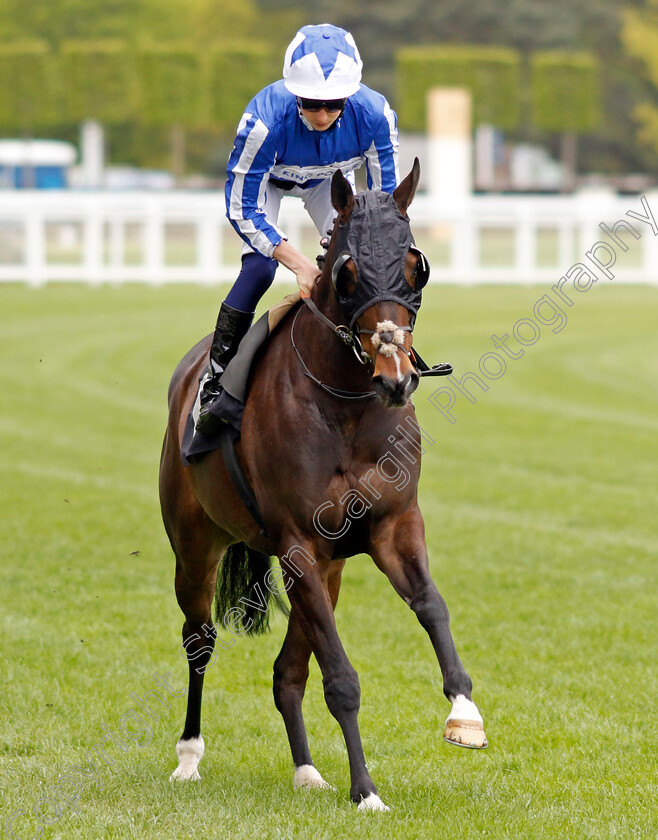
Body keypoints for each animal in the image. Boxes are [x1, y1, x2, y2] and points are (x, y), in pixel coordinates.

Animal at [159, 159, 484, 812]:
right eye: (347, 273)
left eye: (416, 265)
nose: (395, 377)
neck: (349, 410)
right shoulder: (298, 546)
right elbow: (342, 678)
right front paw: (367, 791)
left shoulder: (392, 526)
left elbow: (431, 604)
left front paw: (464, 713)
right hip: (196, 545)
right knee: (200, 639)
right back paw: (189, 756)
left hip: (329, 571)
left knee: (287, 672)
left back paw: (306, 770)